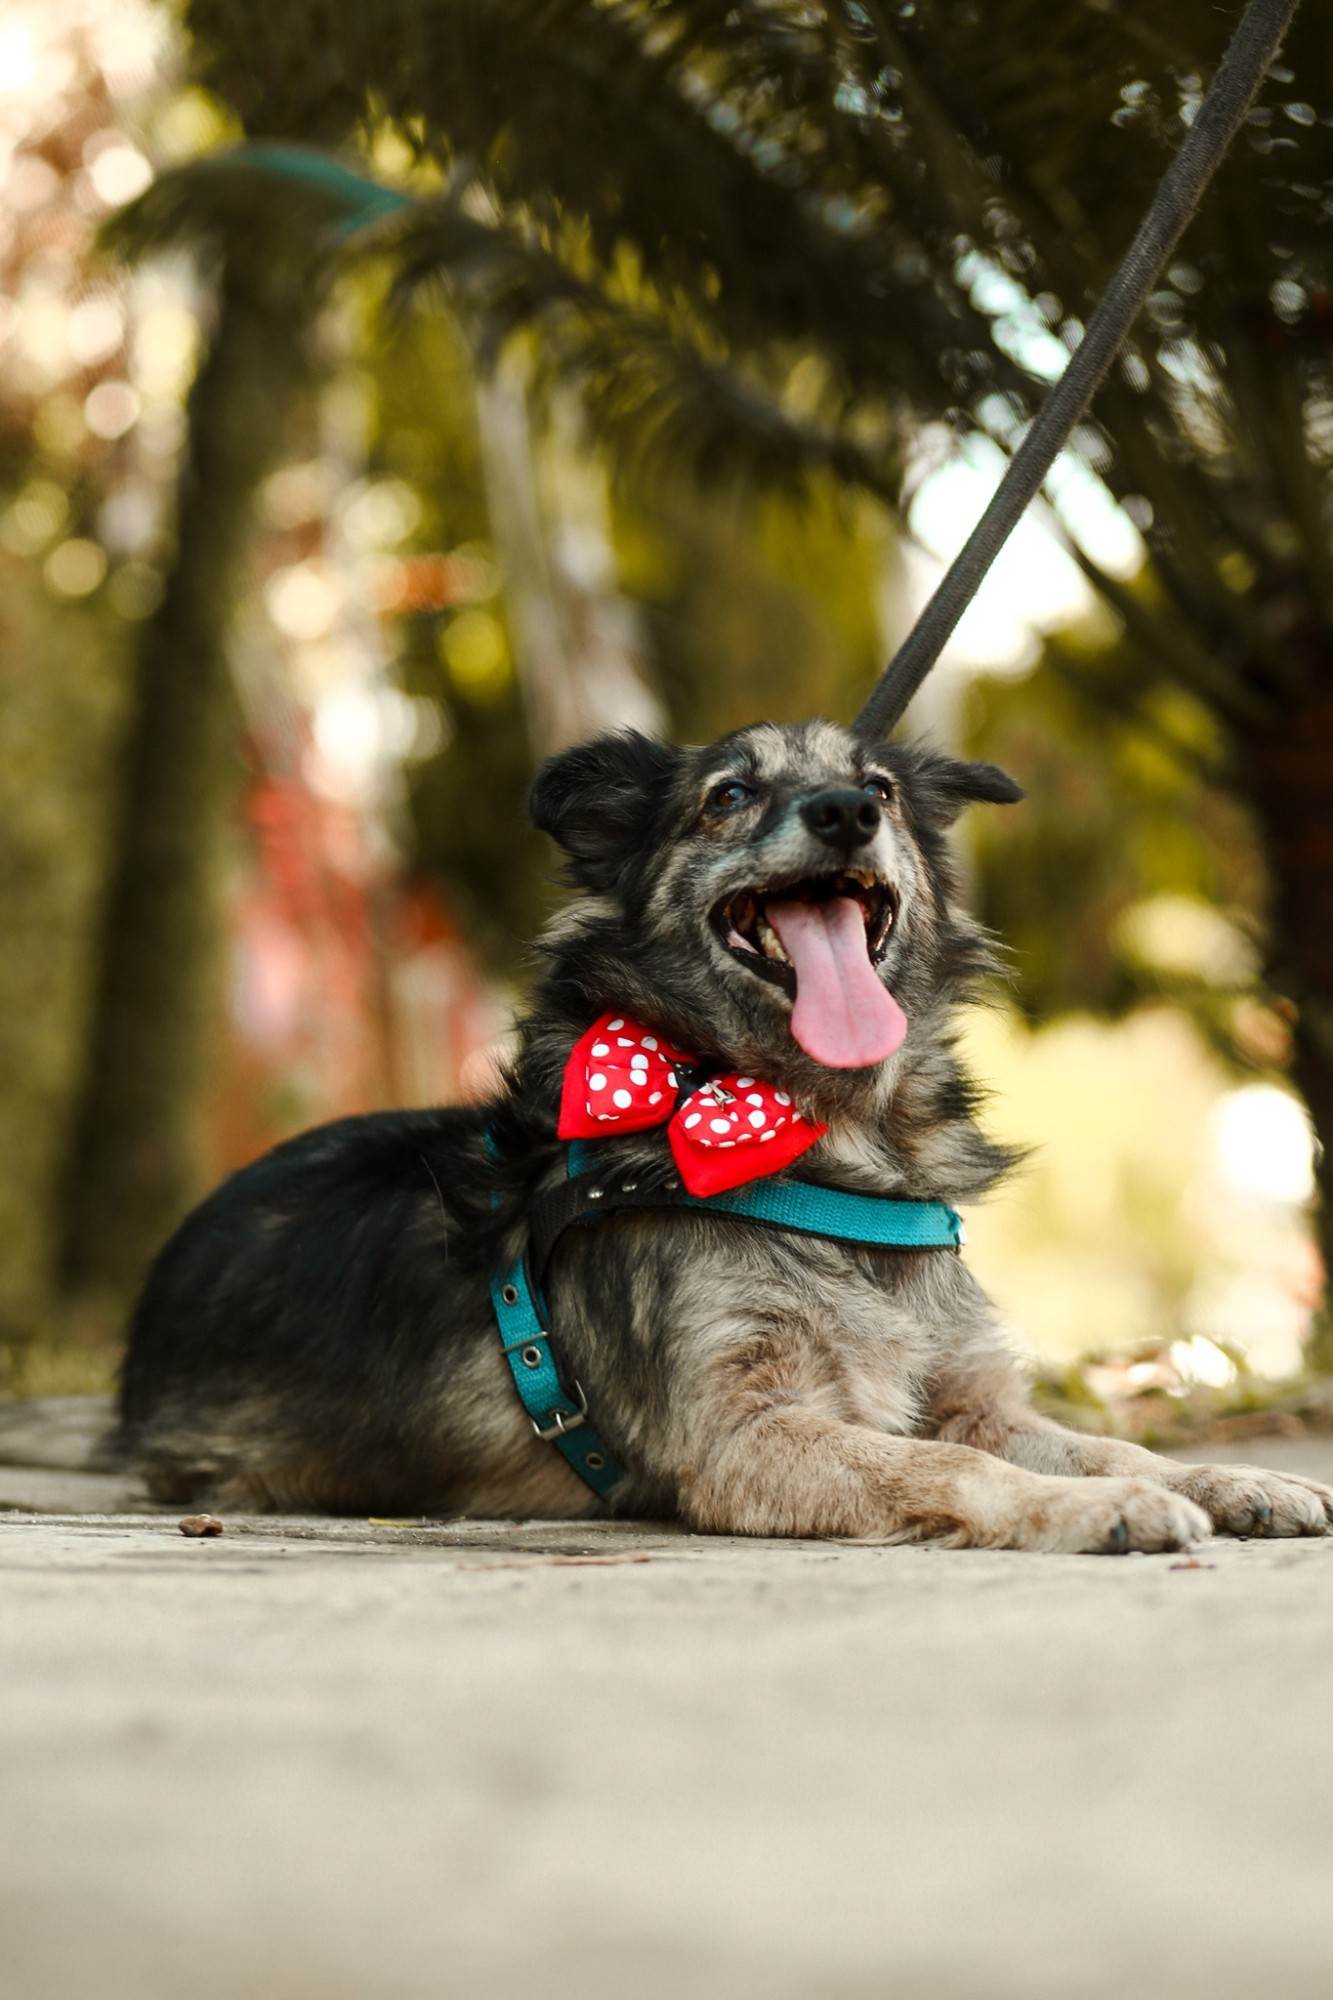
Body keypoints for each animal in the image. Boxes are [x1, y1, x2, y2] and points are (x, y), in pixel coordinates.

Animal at [116, 720, 1328, 1544]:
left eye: (880, 787)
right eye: (728, 795)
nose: (844, 811)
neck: (825, 1144)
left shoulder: (970, 1399)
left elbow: (1112, 1437)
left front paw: (1233, 1480)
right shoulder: (742, 1436)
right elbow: (949, 1473)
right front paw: (1097, 1508)